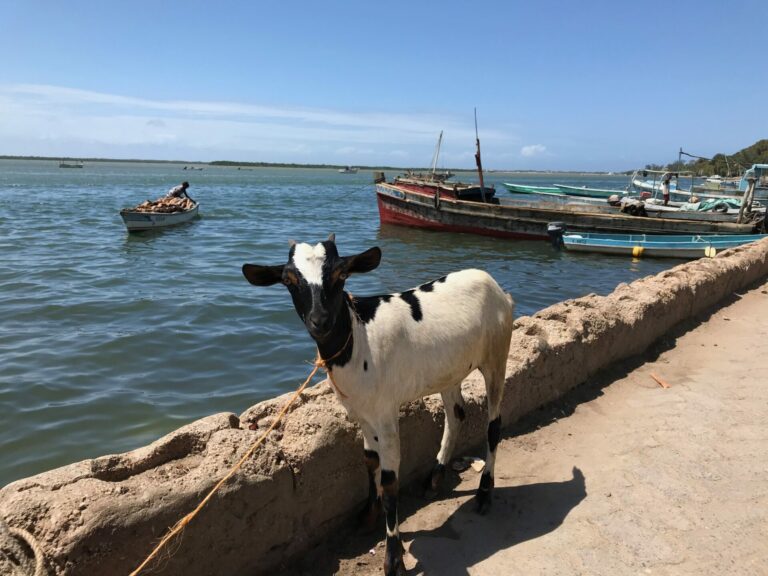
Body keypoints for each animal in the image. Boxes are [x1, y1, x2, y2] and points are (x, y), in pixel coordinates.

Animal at [243, 235, 512, 576]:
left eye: (341, 274)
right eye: (289, 280)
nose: (320, 321)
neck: (359, 340)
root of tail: (496, 286)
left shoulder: (385, 414)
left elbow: (389, 480)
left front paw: (393, 557)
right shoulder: (361, 413)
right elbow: (369, 461)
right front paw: (368, 517)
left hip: (496, 355)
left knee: (493, 425)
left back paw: (484, 493)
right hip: (448, 370)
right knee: (456, 415)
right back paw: (436, 476)